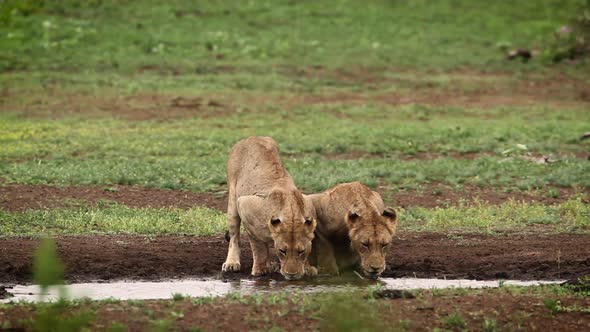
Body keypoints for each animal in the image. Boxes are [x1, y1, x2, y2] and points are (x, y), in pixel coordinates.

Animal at [222, 136, 320, 278]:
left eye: (301, 251)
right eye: (282, 251)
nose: (292, 275)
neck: (291, 215)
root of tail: (251, 137)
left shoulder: (309, 204)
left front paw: (307, 268)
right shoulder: (244, 205)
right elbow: (258, 246)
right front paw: (260, 270)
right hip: (233, 199)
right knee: (234, 237)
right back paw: (232, 263)